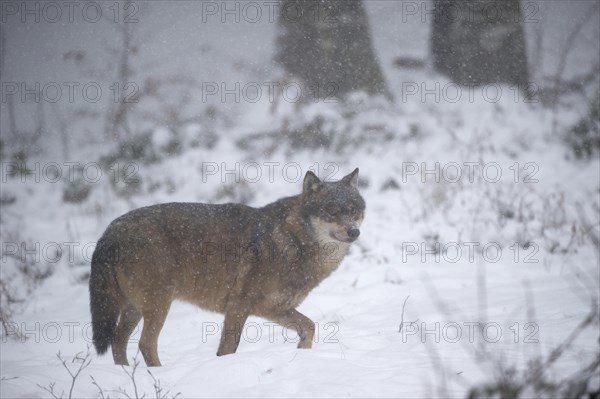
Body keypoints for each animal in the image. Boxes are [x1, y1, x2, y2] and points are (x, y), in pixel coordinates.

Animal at [86, 167, 364, 368]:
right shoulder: (239, 306)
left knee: (118, 342)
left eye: (354, 211)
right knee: (144, 344)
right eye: (332, 211)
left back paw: (123, 374)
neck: (292, 241)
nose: (354, 231)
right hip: (158, 304)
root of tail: (110, 230)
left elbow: (309, 326)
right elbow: (229, 348)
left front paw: (303, 356)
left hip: (134, 308)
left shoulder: (273, 308)